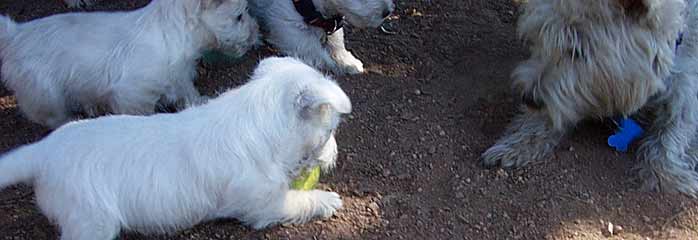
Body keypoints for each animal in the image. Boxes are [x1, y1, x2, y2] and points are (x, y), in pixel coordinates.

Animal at [0, 0, 258, 128]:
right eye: (239, 16)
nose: (257, 33)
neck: (172, 31)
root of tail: (14, 35)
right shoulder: (132, 93)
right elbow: (140, 112)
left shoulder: (179, 74)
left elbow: (187, 91)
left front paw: (200, 102)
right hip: (46, 96)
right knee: (52, 118)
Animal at [0, 56, 350, 240]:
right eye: (330, 130)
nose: (334, 156)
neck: (259, 120)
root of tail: (45, 151)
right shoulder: (265, 205)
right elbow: (297, 200)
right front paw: (327, 199)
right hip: (91, 222)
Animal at [482, 0, 698, 197]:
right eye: (540, 39)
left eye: (577, 51)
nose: (528, 99)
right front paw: (514, 145)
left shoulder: (685, 90)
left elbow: (672, 135)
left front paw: (673, 176)